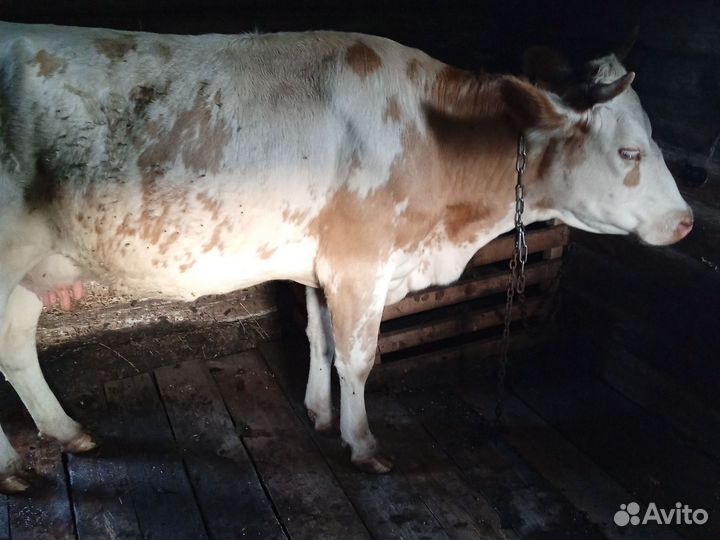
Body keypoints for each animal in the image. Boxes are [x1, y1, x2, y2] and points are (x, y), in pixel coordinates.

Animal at [0, 21, 692, 492]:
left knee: (15, 347)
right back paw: (15, 467)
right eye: (630, 151)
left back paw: (66, 432)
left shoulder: (320, 263)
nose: (686, 221)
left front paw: (319, 412)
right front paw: (363, 443)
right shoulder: (360, 263)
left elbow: (319, 337)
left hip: (31, 272)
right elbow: (358, 357)